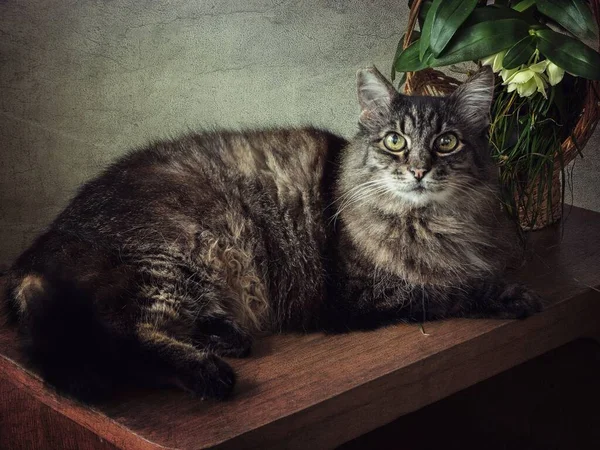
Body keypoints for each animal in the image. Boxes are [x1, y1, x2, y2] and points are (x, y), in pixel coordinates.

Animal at [2, 66, 540, 400]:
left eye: (447, 143)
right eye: (395, 141)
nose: (420, 171)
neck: (429, 219)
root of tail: (37, 253)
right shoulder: (360, 292)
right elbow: (450, 288)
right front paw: (512, 295)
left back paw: (224, 336)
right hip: (180, 251)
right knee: (126, 336)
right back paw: (211, 373)